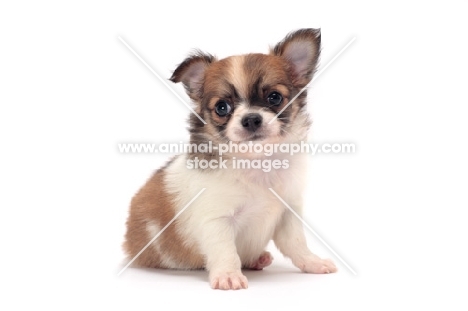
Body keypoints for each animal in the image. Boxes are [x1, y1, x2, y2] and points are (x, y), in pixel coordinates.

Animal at [123, 28, 336, 290]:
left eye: (274, 98)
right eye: (222, 107)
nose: (251, 119)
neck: (257, 162)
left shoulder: (288, 213)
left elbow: (297, 244)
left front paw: (313, 263)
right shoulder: (218, 220)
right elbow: (225, 251)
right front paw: (228, 275)